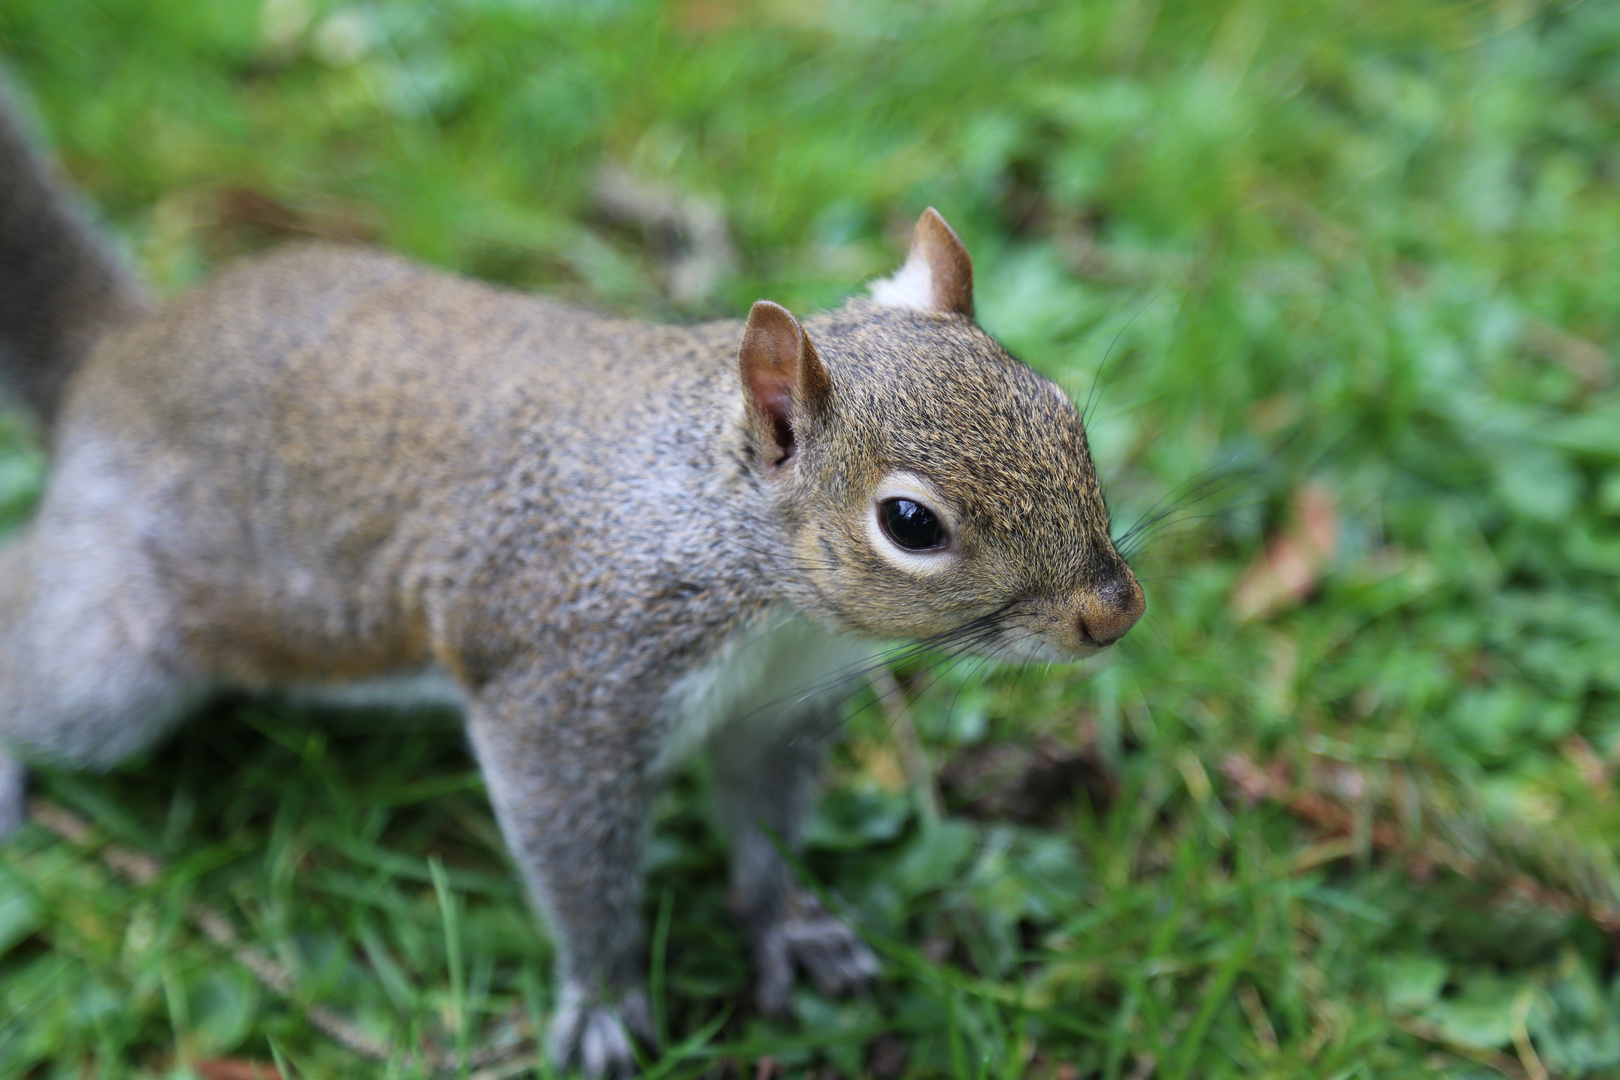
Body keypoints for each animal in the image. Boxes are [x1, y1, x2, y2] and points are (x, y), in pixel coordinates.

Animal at [3, 90, 1140, 1075]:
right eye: (910, 523)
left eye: (1062, 413)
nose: (1113, 612)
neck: (742, 569)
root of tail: (116, 357)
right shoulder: (563, 689)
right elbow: (576, 864)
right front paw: (599, 1001)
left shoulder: (775, 704)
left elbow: (765, 823)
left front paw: (789, 924)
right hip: (117, 654)